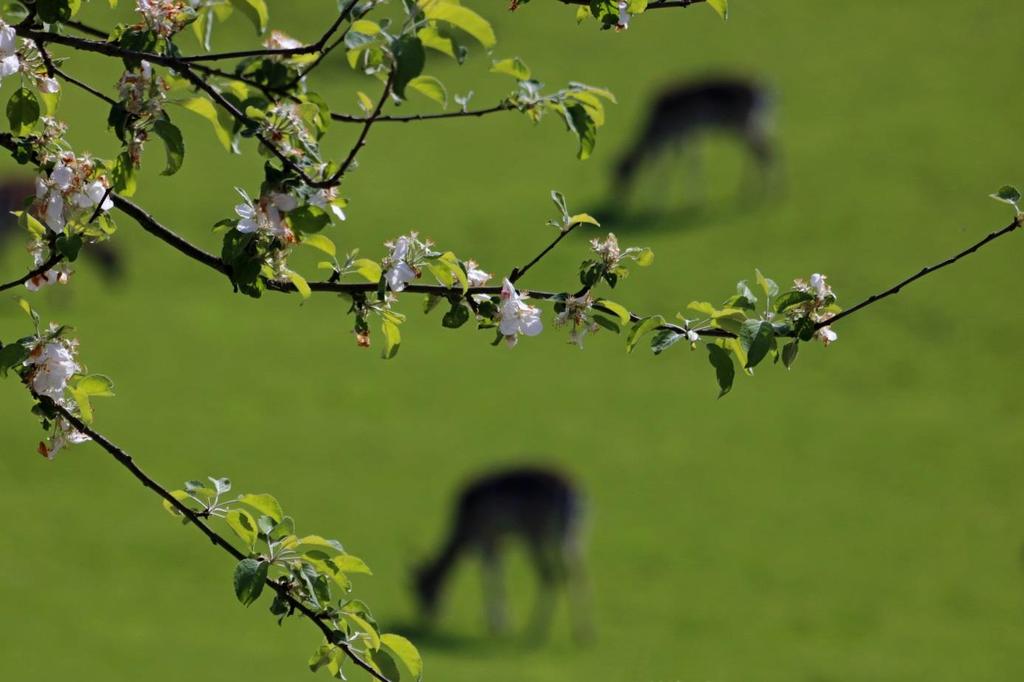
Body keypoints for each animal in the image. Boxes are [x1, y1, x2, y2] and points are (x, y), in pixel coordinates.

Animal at [413, 464, 593, 638]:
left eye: (423, 587)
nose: (427, 616)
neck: (462, 531)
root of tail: (575, 494)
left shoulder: (484, 539)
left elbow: (489, 576)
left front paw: (497, 625)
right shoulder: (500, 543)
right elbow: (499, 575)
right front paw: (502, 623)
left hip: (536, 534)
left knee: (550, 574)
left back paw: (536, 630)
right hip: (573, 536)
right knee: (576, 574)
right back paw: (584, 633)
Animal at [614, 76, 774, 200]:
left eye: (623, 172)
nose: (617, 198)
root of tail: (767, 91)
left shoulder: (682, 131)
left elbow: (675, 162)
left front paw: (657, 199)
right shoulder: (684, 134)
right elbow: (685, 160)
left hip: (743, 123)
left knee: (763, 151)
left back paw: (763, 191)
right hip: (752, 125)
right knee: (764, 150)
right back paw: (762, 191)